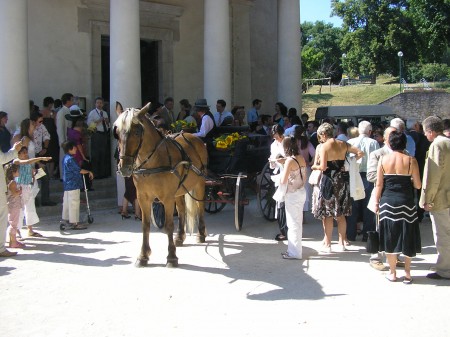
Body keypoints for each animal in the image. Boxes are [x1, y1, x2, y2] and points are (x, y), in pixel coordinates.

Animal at [115, 101, 208, 266]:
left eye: (137, 132)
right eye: (117, 132)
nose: (124, 168)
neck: (153, 162)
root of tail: (192, 135)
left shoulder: (167, 198)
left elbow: (169, 225)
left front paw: (171, 256)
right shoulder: (143, 198)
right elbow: (145, 225)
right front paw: (143, 255)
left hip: (199, 183)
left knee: (200, 206)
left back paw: (201, 234)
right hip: (179, 189)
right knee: (182, 210)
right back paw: (180, 236)